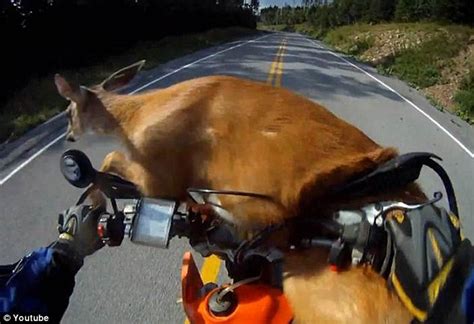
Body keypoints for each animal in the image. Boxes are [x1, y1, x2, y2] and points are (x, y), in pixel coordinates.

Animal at [52, 60, 426, 322]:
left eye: (68, 112)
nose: (68, 137)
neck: (134, 117)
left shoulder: (158, 173)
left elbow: (112, 160)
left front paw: (88, 208)